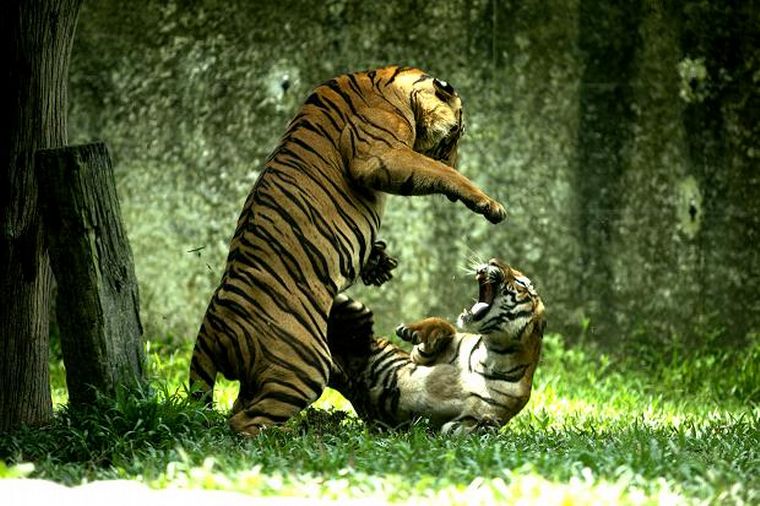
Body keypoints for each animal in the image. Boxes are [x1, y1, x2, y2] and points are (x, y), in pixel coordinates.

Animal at [189, 66, 507, 436]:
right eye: (454, 136)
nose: (456, 157)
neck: (391, 82)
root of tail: (212, 328)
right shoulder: (381, 156)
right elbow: (438, 172)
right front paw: (489, 203)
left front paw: (379, 263)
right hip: (303, 366)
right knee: (244, 423)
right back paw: (296, 436)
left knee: (242, 410)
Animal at [327, 258, 545, 434]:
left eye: (521, 282)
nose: (493, 261)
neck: (492, 353)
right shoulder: (420, 356)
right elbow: (442, 326)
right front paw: (413, 331)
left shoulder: (471, 421)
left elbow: (467, 427)